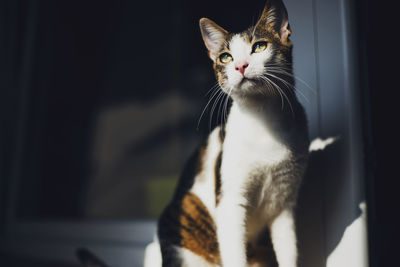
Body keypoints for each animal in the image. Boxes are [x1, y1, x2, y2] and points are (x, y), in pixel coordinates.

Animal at [155, 0, 310, 267]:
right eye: (225, 57)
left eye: (259, 46)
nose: (240, 66)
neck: (264, 120)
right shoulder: (230, 201)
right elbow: (235, 253)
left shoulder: (284, 204)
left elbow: (288, 251)